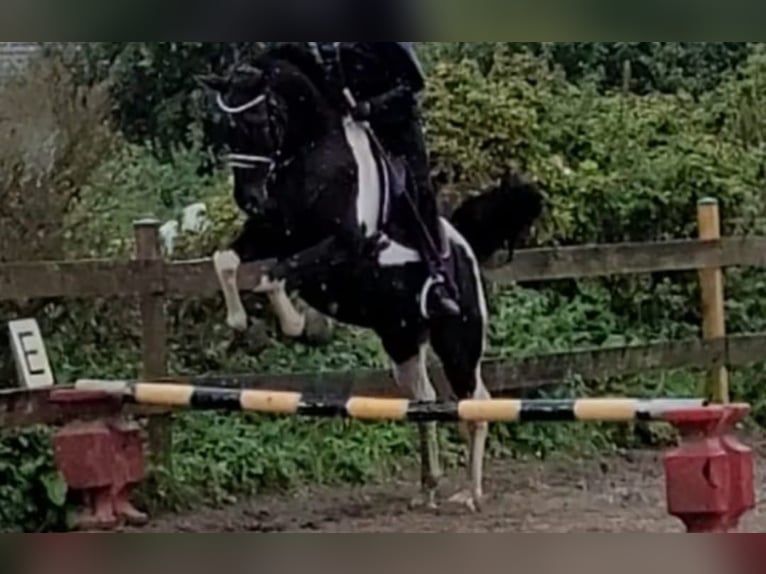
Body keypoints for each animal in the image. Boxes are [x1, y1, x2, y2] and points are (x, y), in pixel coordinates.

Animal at [198, 46, 544, 512]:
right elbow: (226, 260)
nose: (248, 199)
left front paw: (301, 324)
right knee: (425, 399)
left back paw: (470, 493)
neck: (316, 154)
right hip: (401, 336)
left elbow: (275, 276)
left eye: (261, 121)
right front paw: (238, 323)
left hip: (458, 341)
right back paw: (428, 486)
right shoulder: (272, 232)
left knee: (476, 404)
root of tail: (466, 248)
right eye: (226, 128)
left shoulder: (345, 244)